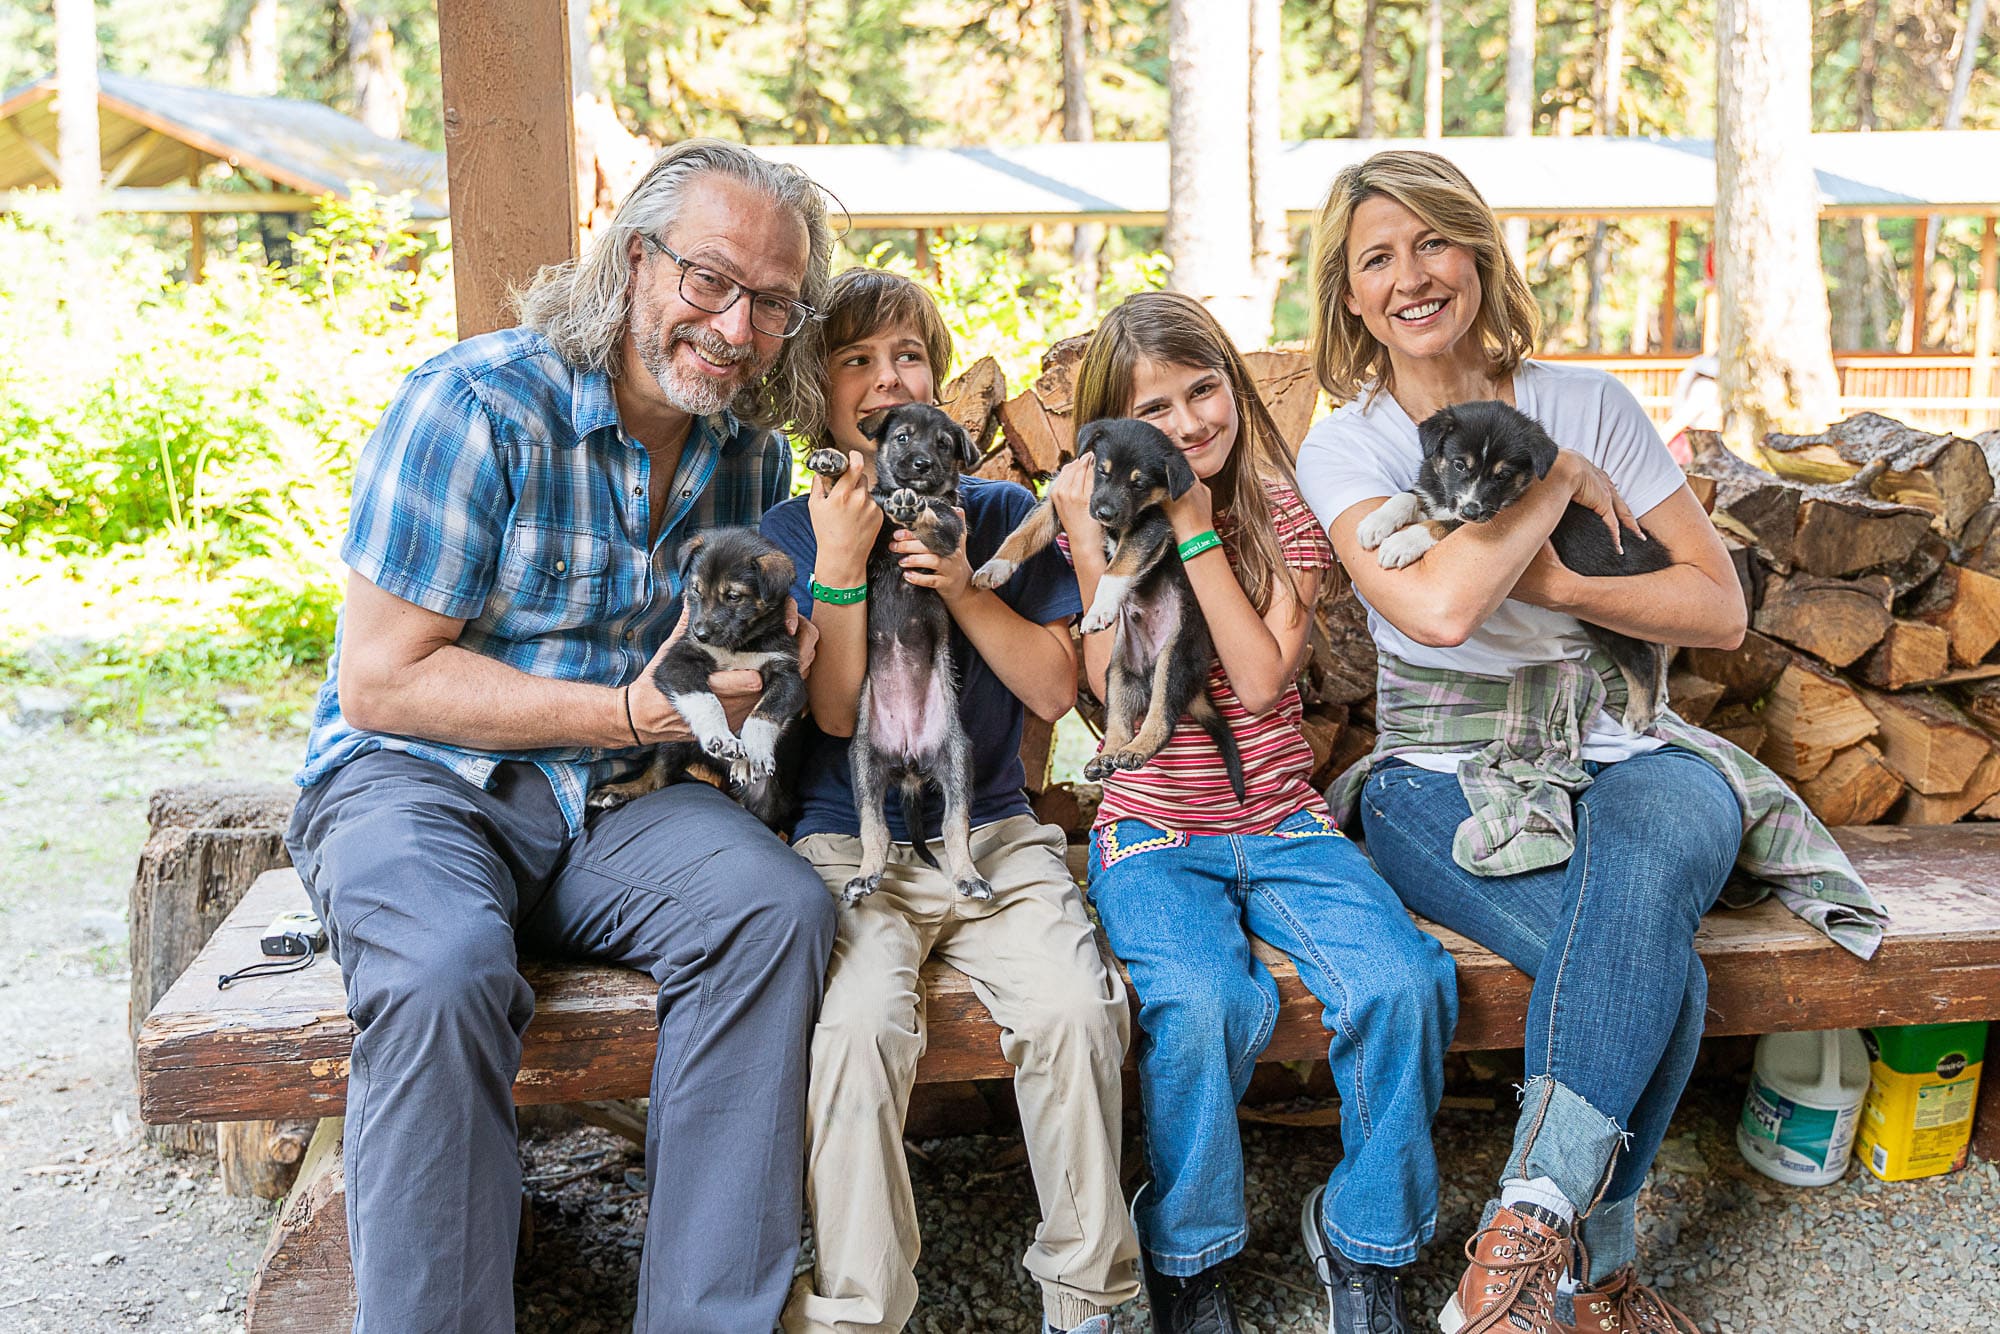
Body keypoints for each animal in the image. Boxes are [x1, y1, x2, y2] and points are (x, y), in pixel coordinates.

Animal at [587, 527, 805, 830]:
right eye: (696, 590)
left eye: (733, 596)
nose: (700, 633)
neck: (740, 646)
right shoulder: (676, 661)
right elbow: (705, 698)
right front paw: (722, 737)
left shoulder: (788, 674)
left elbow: (765, 713)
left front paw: (754, 750)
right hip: (672, 741)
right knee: (656, 778)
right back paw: (617, 791)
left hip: (771, 800)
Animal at [806, 402, 993, 907]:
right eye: (904, 438)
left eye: (944, 446)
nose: (922, 466)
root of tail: (909, 761)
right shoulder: (868, 524)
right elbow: (863, 496)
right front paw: (832, 461)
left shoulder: (950, 531)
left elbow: (935, 519)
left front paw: (914, 507)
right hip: (865, 768)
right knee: (877, 832)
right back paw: (866, 875)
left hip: (957, 759)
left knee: (954, 827)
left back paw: (969, 876)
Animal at [973, 417, 1245, 800]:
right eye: (1102, 471)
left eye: (1139, 484)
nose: (1103, 513)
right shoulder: (1054, 503)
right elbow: (1021, 535)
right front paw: (994, 567)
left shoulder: (1150, 527)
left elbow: (1116, 567)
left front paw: (1100, 608)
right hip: (1117, 672)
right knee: (1118, 722)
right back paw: (1109, 757)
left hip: (1174, 660)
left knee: (1161, 719)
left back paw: (1136, 750)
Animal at [1355, 398, 1673, 731]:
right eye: (1459, 464)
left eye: (1502, 475)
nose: (1471, 509)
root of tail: (1654, 551)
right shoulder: (1440, 494)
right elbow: (1408, 496)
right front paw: (1375, 524)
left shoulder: (1479, 520)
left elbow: (1440, 524)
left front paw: (1402, 543)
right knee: (1657, 643)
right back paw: (1659, 697)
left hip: (1604, 611)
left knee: (1642, 654)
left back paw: (1639, 715)